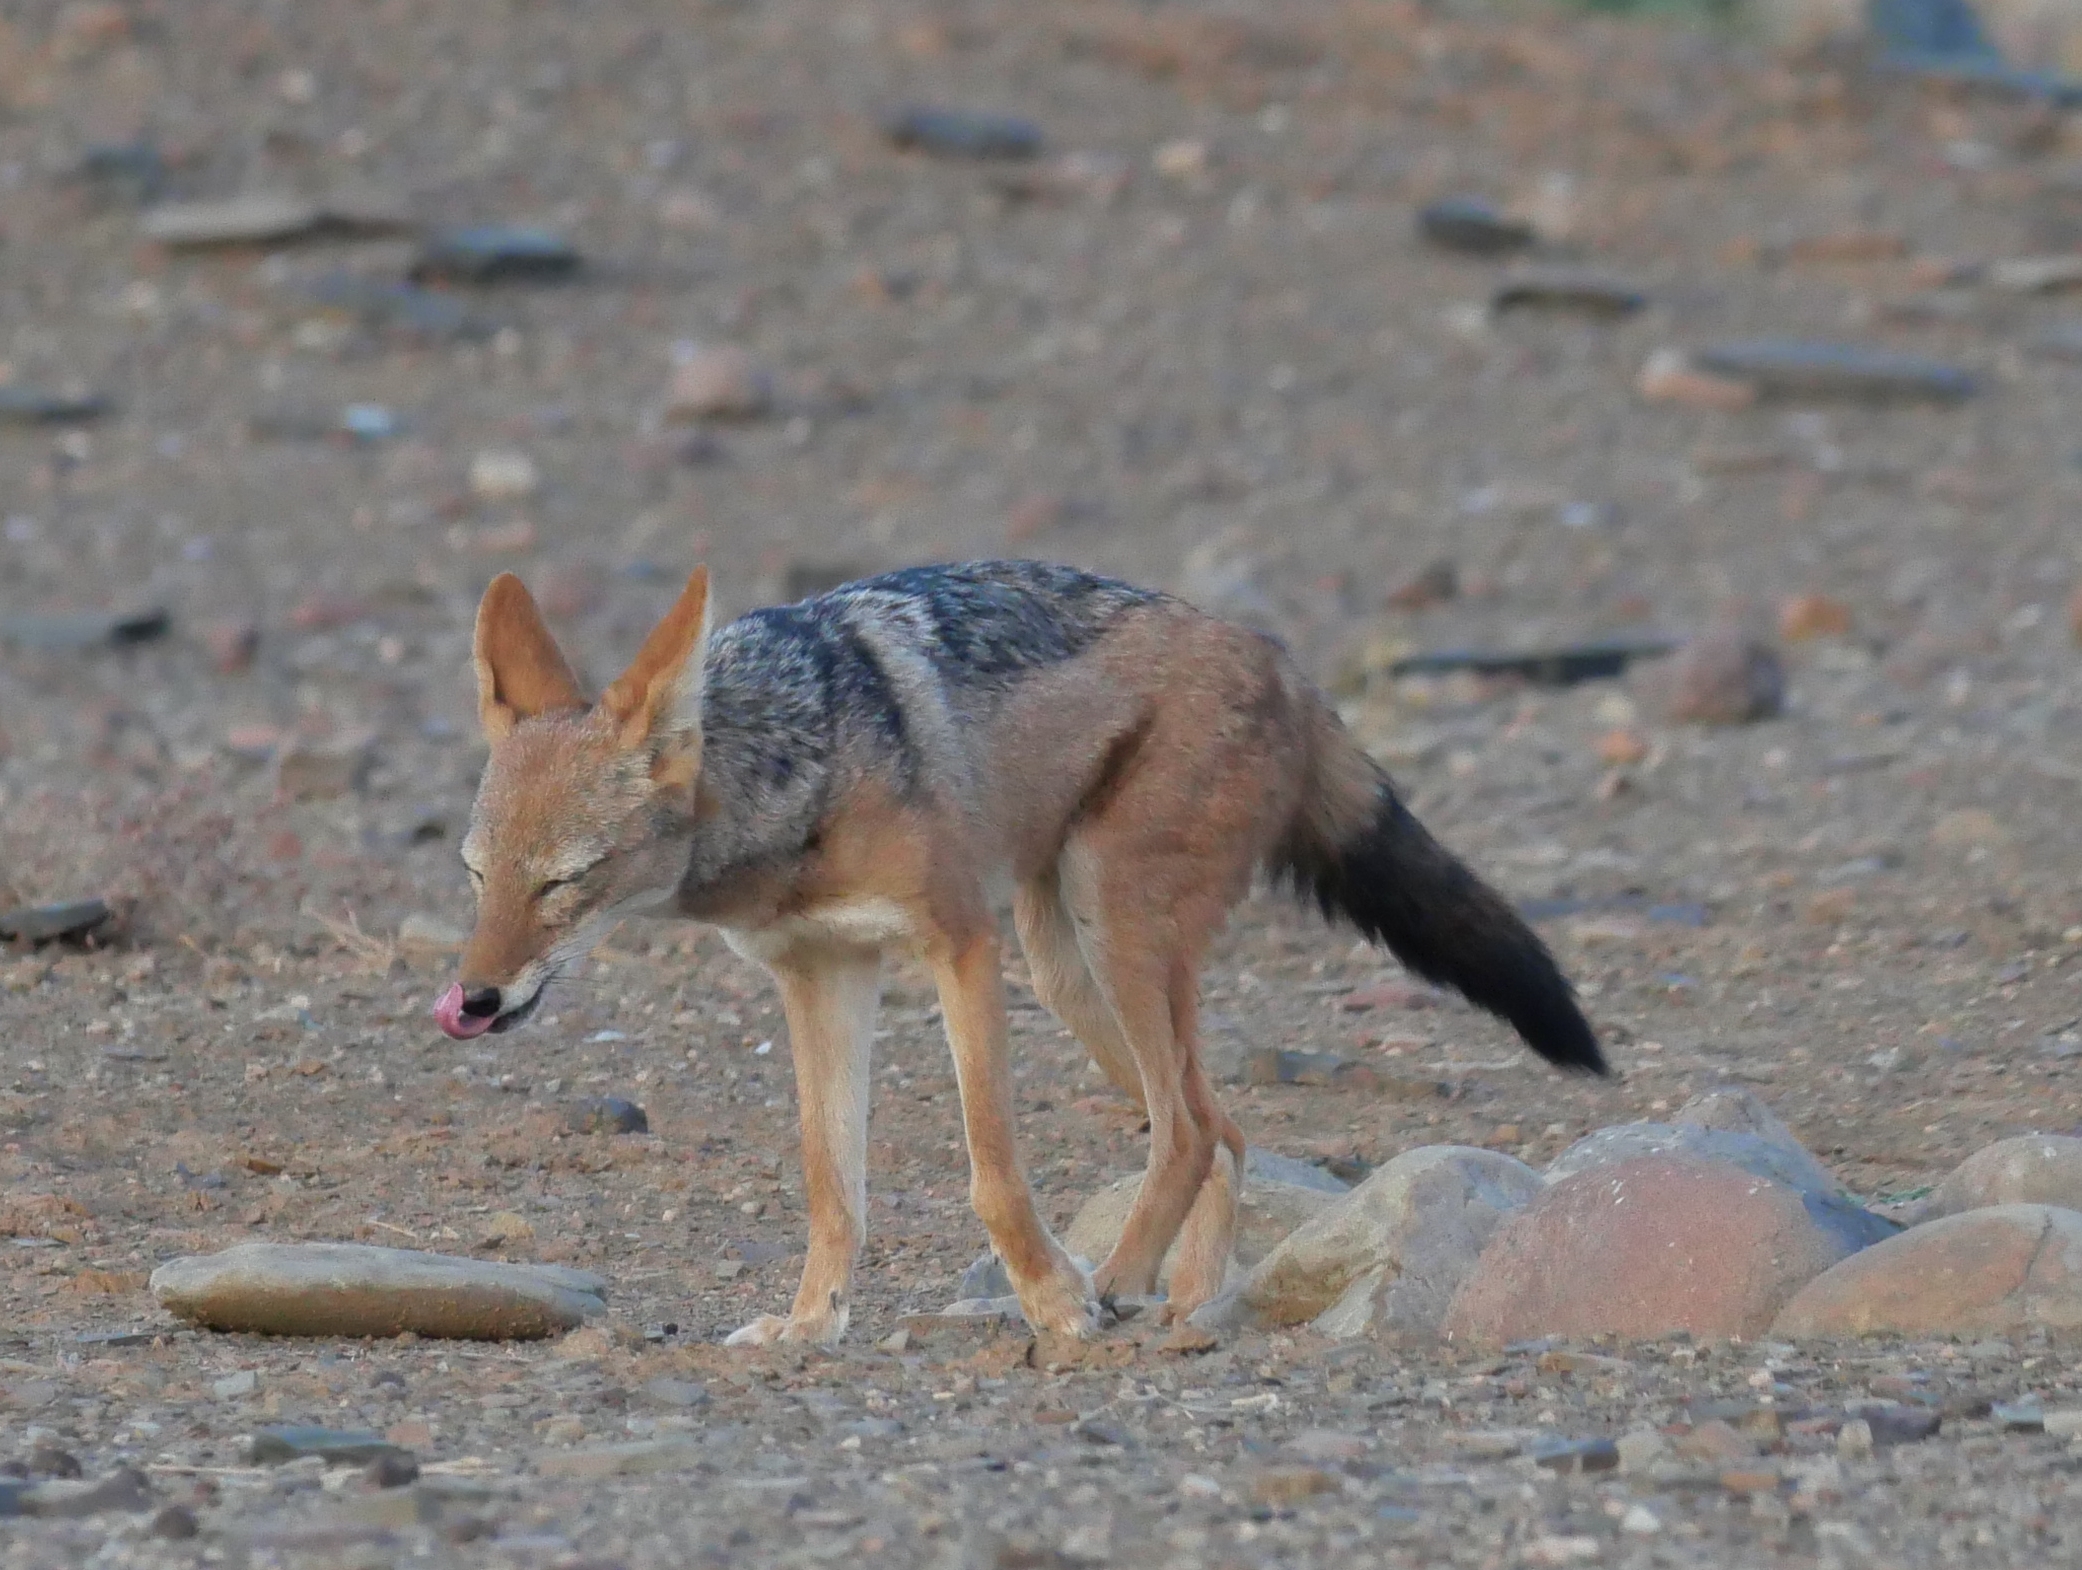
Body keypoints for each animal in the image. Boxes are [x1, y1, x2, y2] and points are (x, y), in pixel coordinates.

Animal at [434, 559, 1604, 1346]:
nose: (472, 1001)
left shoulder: (959, 943)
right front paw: (811, 1325)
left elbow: (993, 1173)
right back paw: (1185, 1306)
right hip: (1070, 970)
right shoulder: (819, 974)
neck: (805, 771)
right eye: (477, 877)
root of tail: (1280, 657)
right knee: (1223, 1126)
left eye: (565, 880)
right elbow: (830, 1184)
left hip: (1105, 935)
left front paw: (1053, 1299)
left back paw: (1120, 1283)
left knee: (1189, 1127)